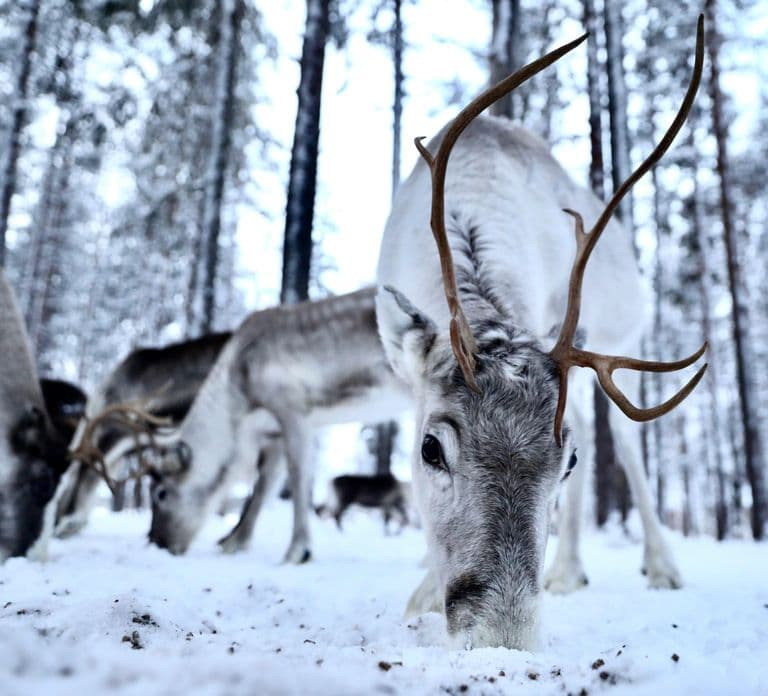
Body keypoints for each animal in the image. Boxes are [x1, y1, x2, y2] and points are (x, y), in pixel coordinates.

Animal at [375, 17, 707, 649]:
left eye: (565, 460)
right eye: (430, 448)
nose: (504, 642)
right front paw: (422, 590)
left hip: (622, 344)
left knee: (626, 446)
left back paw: (658, 566)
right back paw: (569, 570)